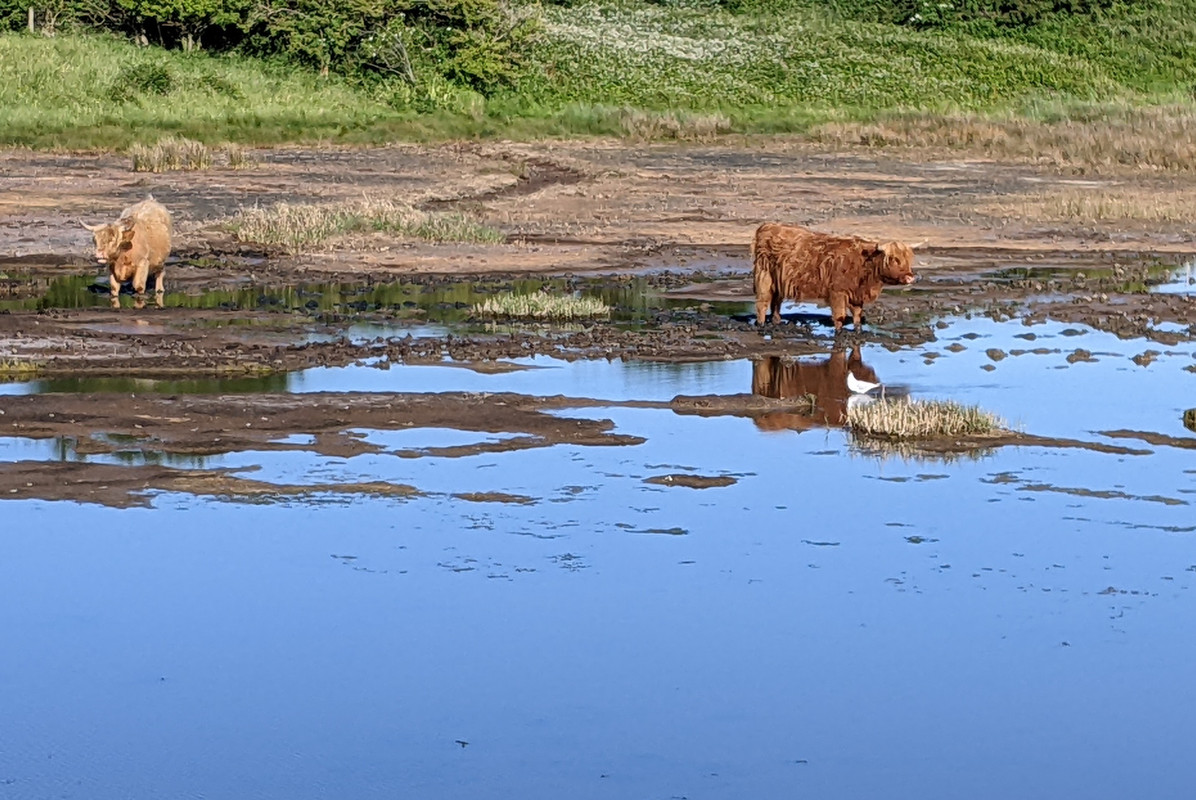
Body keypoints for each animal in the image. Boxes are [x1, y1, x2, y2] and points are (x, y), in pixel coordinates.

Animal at [751, 222, 917, 331]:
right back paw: (761, 325)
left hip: (779, 281)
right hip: (764, 277)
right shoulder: (838, 293)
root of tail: (767, 226)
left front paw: (857, 330)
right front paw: (839, 332)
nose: (910, 277)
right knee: (762, 303)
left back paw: (776, 322)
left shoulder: (857, 295)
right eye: (893, 259)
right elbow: (839, 317)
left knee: (776, 302)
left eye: (908, 259)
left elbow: (857, 315)